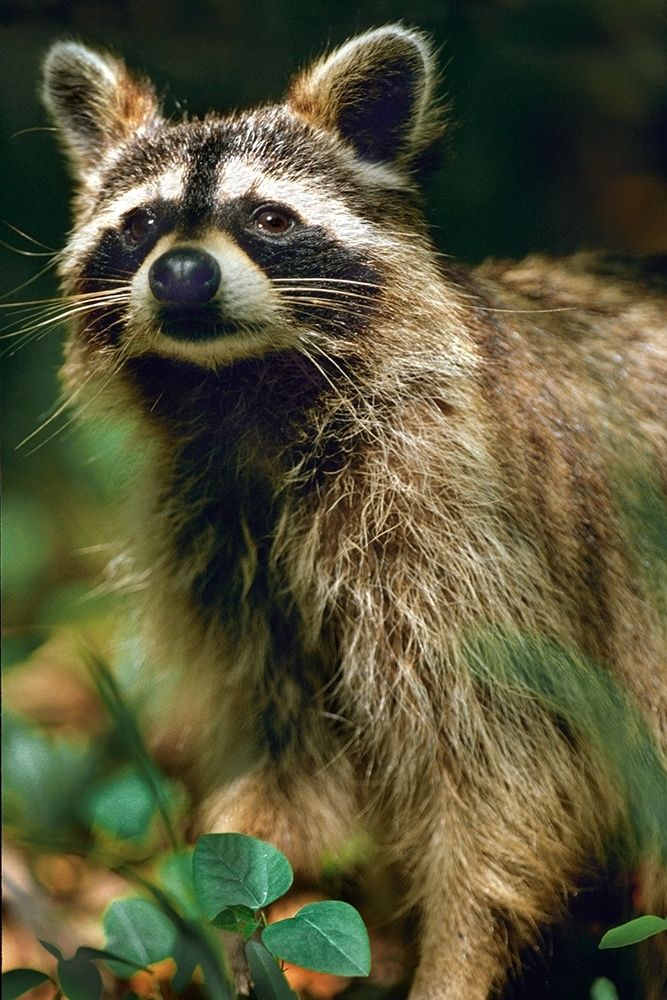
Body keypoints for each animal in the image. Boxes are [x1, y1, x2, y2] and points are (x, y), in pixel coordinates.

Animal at [42, 25, 667, 999]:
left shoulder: (463, 529)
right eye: (139, 223)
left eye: (269, 218)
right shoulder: (226, 546)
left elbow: (512, 772)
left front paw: (456, 962)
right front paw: (232, 930)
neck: (244, 392)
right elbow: (280, 766)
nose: (179, 275)